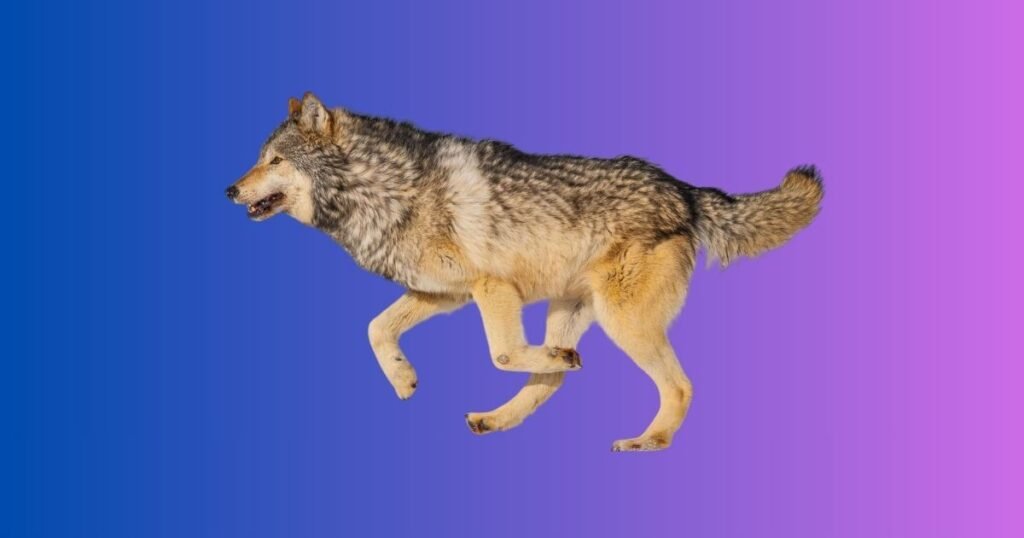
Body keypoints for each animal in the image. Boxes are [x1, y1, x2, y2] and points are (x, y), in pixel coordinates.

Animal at [226, 92, 823, 451]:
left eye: (275, 160)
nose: (230, 189)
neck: (384, 189)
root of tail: (685, 190)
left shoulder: (492, 286)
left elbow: (503, 353)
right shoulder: (443, 294)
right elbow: (375, 329)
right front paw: (402, 379)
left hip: (623, 322)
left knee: (678, 386)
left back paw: (646, 441)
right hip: (572, 310)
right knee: (554, 379)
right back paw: (500, 414)